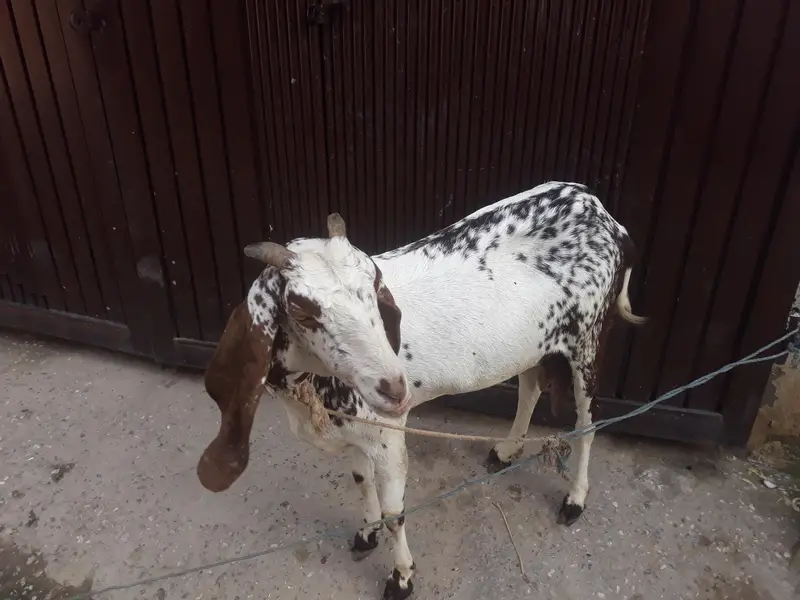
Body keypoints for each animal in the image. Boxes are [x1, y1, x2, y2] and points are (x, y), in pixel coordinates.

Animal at [196, 181, 646, 599]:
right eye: (302, 311)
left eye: (375, 287)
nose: (395, 390)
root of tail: (604, 216)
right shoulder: (356, 433)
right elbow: (361, 481)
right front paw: (366, 535)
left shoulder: (388, 437)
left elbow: (396, 511)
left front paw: (401, 578)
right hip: (534, 344)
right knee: (531, 387)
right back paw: (506, 450)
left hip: (588, 342)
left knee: (588, 421)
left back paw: (574, 499)